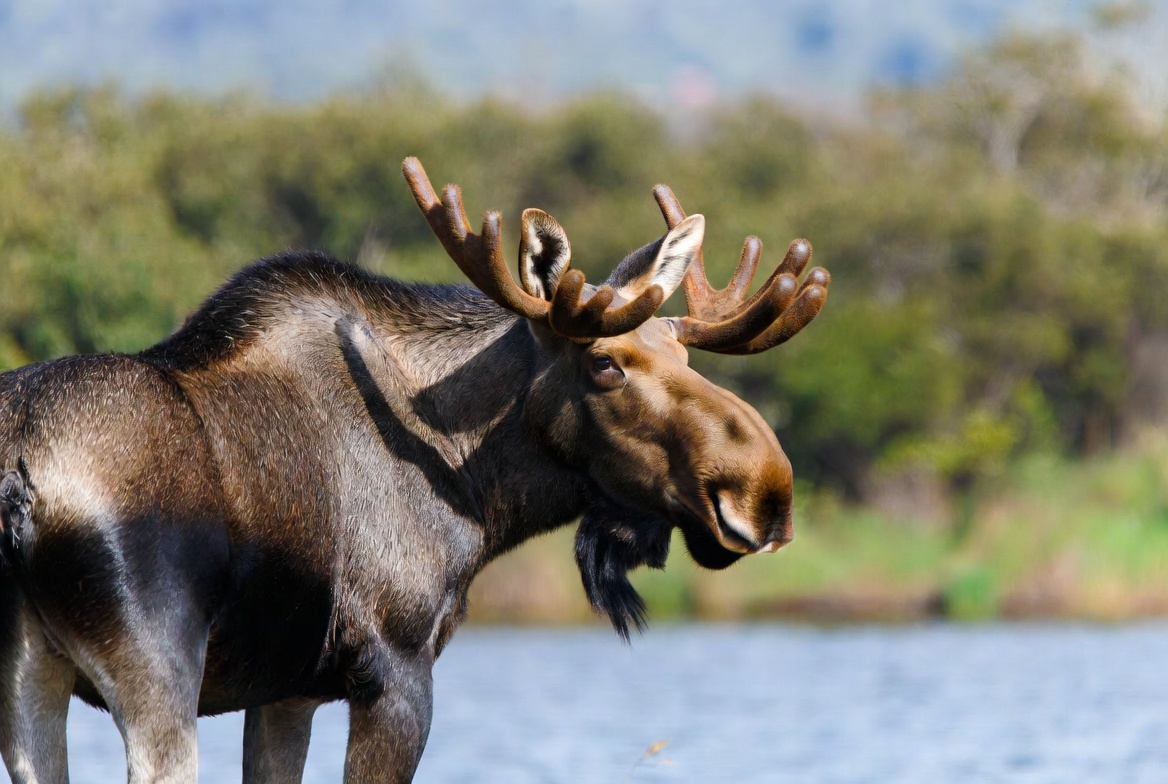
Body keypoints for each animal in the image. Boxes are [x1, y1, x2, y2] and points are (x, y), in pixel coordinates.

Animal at [0, 157, 829, 783]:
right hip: (155, 668)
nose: (764, 491)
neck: (477, 493)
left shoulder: (286, 691)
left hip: (30, 675)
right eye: (604, 363)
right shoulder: (396, 674)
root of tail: (20, 478)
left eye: (685, 354)